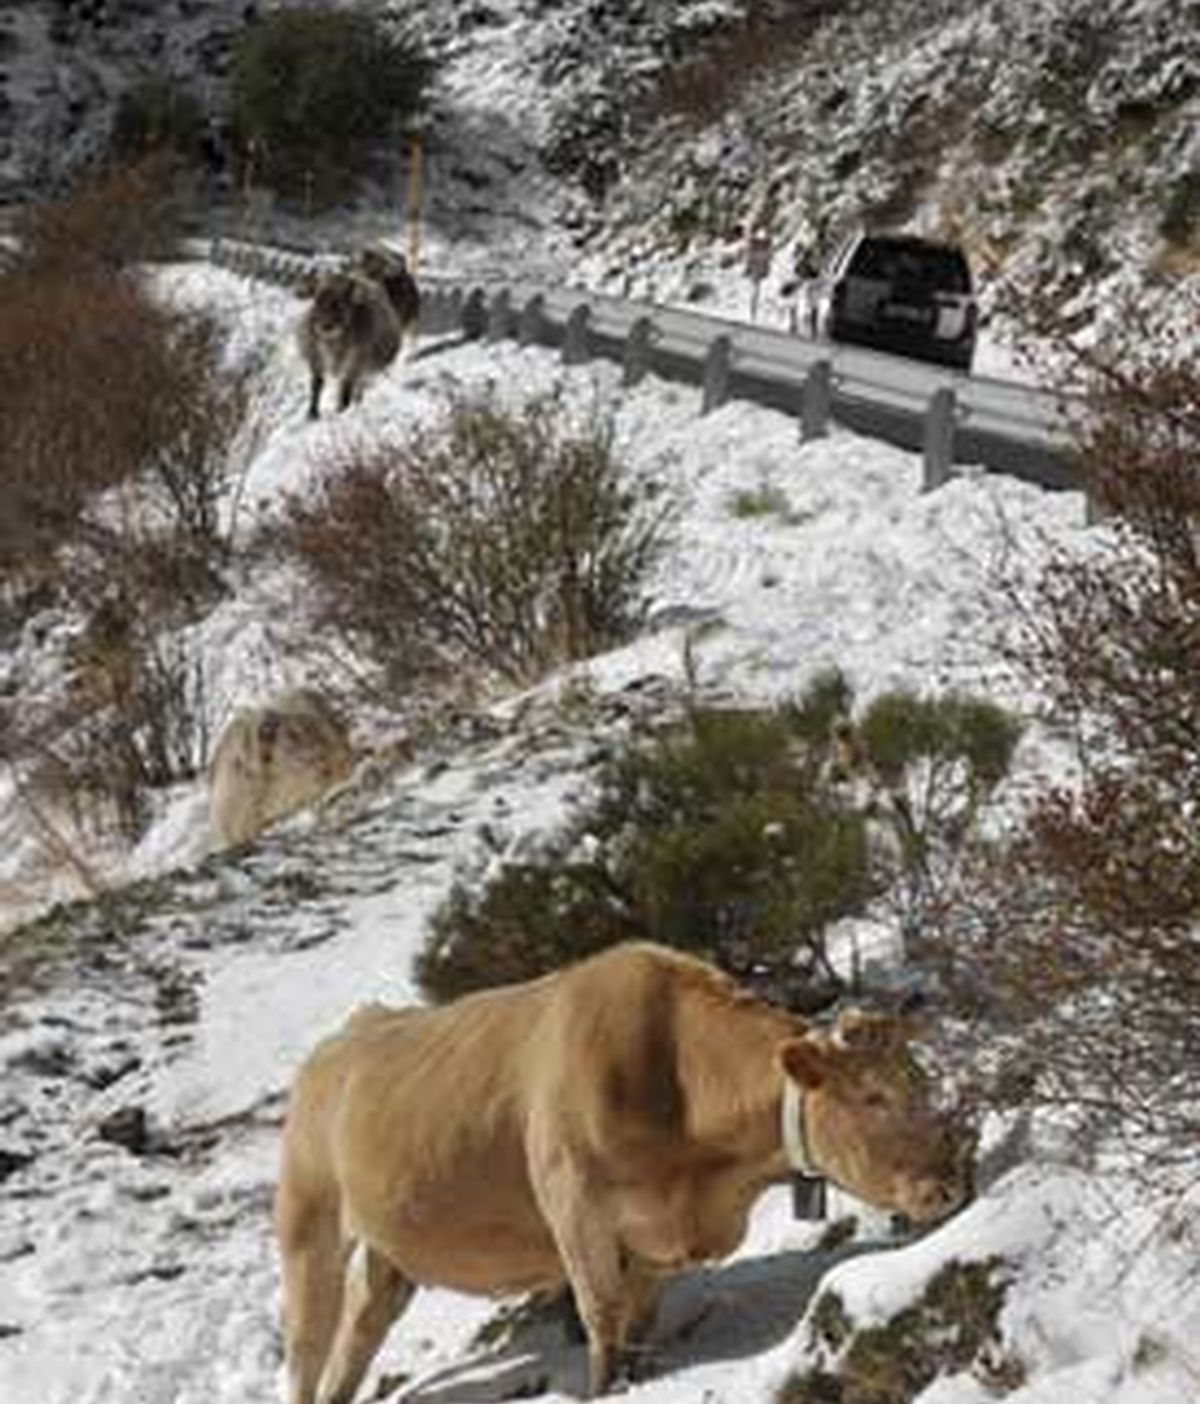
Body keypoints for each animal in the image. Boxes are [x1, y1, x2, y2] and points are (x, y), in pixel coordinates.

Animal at [276, 937, 971, 1398]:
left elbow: (638, 1322)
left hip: (389, 1249)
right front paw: (604, 1386)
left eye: (922, 1081)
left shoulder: (657, 1238)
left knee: (362, 1327)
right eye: (873, 1096)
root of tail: (342, 1039)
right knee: (307, 1343)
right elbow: (603, 1316)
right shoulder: (574, 1205)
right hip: (309, 1223)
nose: (950, 1184)